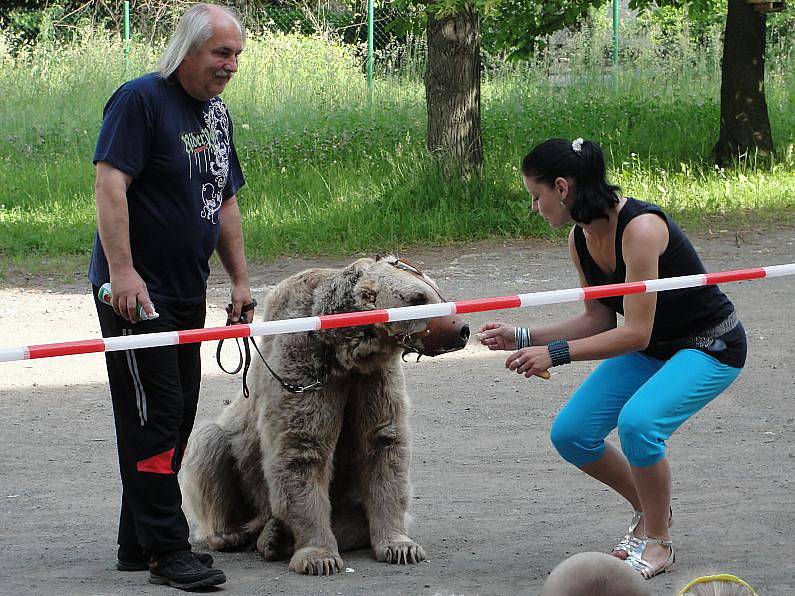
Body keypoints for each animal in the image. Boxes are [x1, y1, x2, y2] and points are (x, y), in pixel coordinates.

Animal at [182, 255, 466, 572]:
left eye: (437, 291)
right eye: (418, 298)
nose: (462, 329)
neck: (345, 353)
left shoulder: (374, 378)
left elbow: (383, 444)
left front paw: (401, 546)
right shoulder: (304, 368)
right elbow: (302, 449)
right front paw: (319, 557)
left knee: (355, 516)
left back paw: (275, 536)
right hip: (240, 464)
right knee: (210, 445)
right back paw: (231, 533)